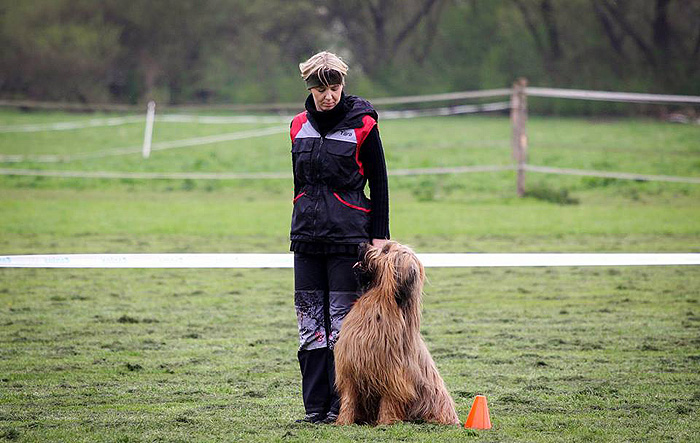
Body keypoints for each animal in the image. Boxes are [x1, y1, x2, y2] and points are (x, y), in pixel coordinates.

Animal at [334, 243, 460, 426]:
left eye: (386, 250)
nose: (361, 245)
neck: (380, 299)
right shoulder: (350, 368)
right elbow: (349, 400)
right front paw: (343, 422)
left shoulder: (394, 376)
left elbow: (389, 401)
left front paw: (385, 423)